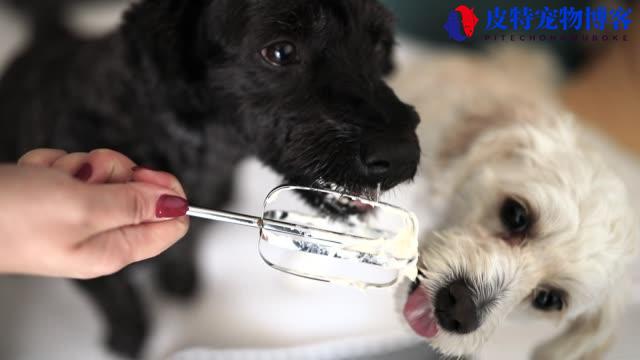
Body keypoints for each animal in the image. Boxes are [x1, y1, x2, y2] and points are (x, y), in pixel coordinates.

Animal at [0, 0, 420, 358]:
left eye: (380, 46)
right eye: (280, 52)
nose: (404, 157)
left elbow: (186, 244)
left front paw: (179, 281)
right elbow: (118, 298)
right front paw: (129, 339)